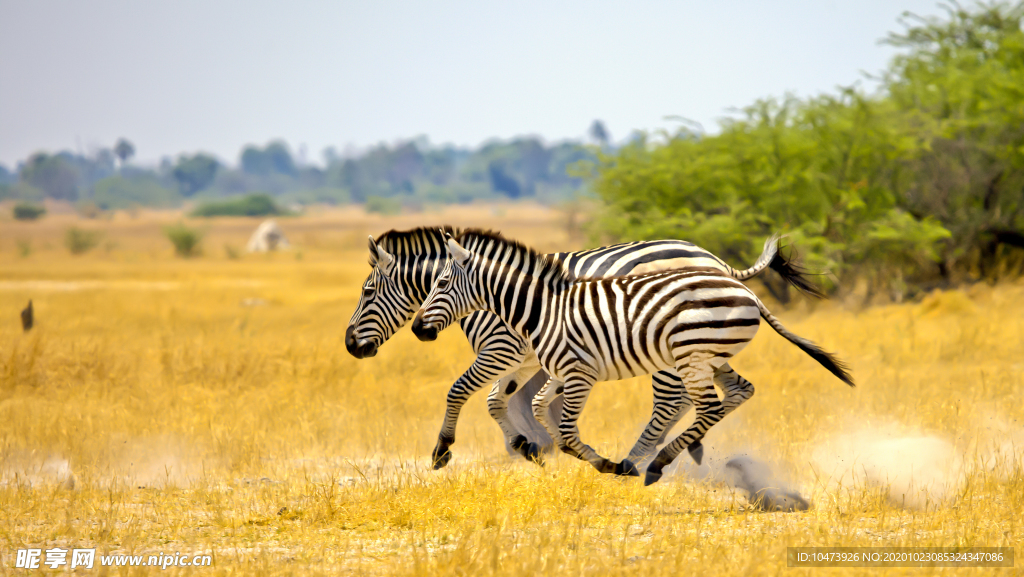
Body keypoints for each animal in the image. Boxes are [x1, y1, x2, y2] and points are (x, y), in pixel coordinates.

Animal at [344, 225, 823, 469]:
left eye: (367, 292)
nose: (350, 346)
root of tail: (714, 260)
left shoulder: (501, 349)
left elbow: (465, 392)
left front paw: (445, 450)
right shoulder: (524, 356)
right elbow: (501, 401)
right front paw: (530, 446)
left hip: (669, 348)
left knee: (675, 399)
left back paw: (649, 456)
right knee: (702, 396)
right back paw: (681, 449)